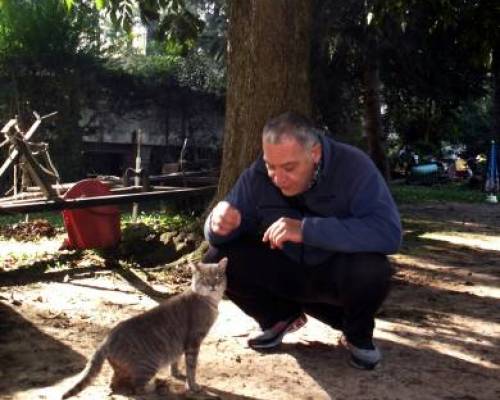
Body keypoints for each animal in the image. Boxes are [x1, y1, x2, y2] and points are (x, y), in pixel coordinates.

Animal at [61, 258, 228, 398]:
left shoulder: (181, 343)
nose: (213, 285)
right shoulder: (193, 341)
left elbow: (177, 361)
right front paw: (192, 385)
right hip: (149, 364)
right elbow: (191, 367)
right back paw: (155, 386)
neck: (209, 300)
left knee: (115, 384)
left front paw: (177, 374)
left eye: (218, 277)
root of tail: (107, 338)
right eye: (205, 278)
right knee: (137, 388)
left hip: (124, 368)